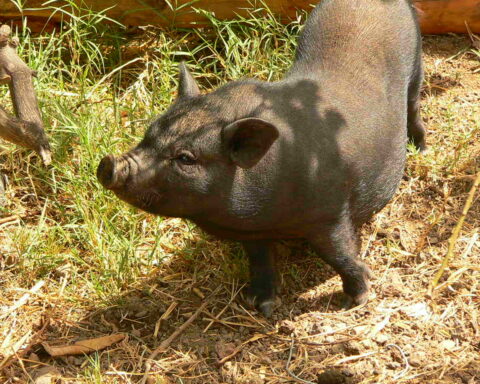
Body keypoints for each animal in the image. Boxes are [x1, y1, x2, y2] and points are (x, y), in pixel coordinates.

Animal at [96, 0, 424, 318]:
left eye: (185, 158)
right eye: (148, 135)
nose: (108, 164)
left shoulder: (330, 212)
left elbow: (339, 254)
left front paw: (354, 300)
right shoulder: (253, 231)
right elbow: (260, 259)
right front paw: (261, 305)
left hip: (416, 62)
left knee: (413, 104)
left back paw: (419, 147)